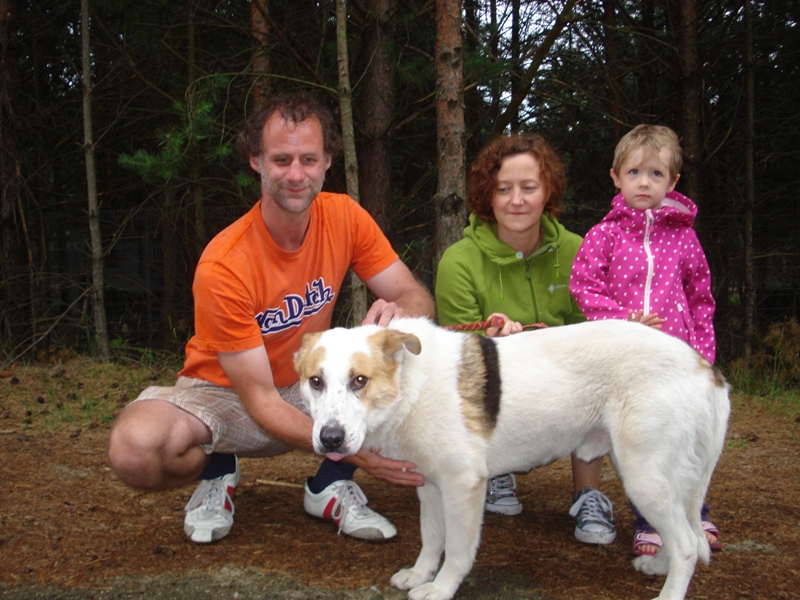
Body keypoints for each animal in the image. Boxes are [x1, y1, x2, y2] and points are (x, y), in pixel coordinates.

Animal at [293, 317, 730, 600]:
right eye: (316, 382)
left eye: (359, 381)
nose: (330, 439)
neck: (410, 385)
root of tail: (706, 369)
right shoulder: (430, 485)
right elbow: (432, 539)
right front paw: (420, 574)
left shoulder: (463, 485)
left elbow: (457, 550)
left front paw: (441, 587)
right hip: (651, 476)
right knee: (684, 537)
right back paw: (658, 567)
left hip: (643, 476)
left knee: (687, 545)